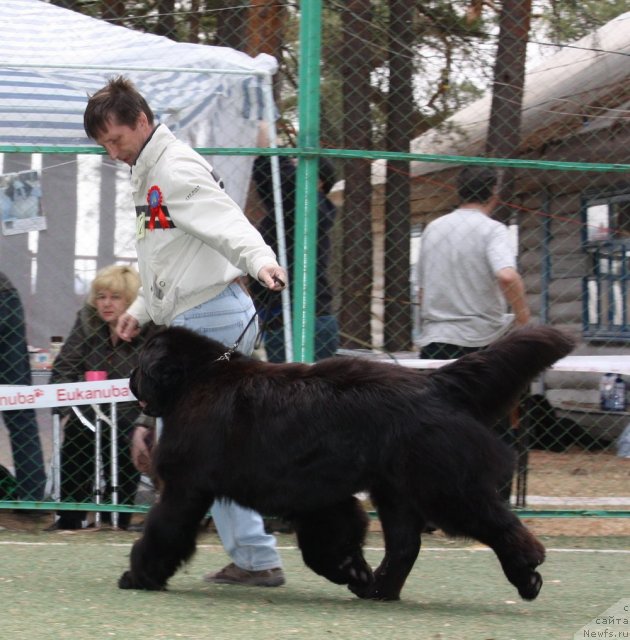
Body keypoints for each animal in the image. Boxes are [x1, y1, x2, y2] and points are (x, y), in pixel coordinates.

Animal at [121, 324, 576, 600]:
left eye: (140, 364)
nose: (129, 380)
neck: (194, 379)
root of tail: (434, 381)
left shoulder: (185, 487)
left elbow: (164, 531)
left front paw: (139, 576)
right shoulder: (316, 496)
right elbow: (329, 543)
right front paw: (353, 572)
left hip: (441, 485)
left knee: (496, 523)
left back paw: (528, 572)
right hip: (396, 490)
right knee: (405, 544)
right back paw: (380, 589)